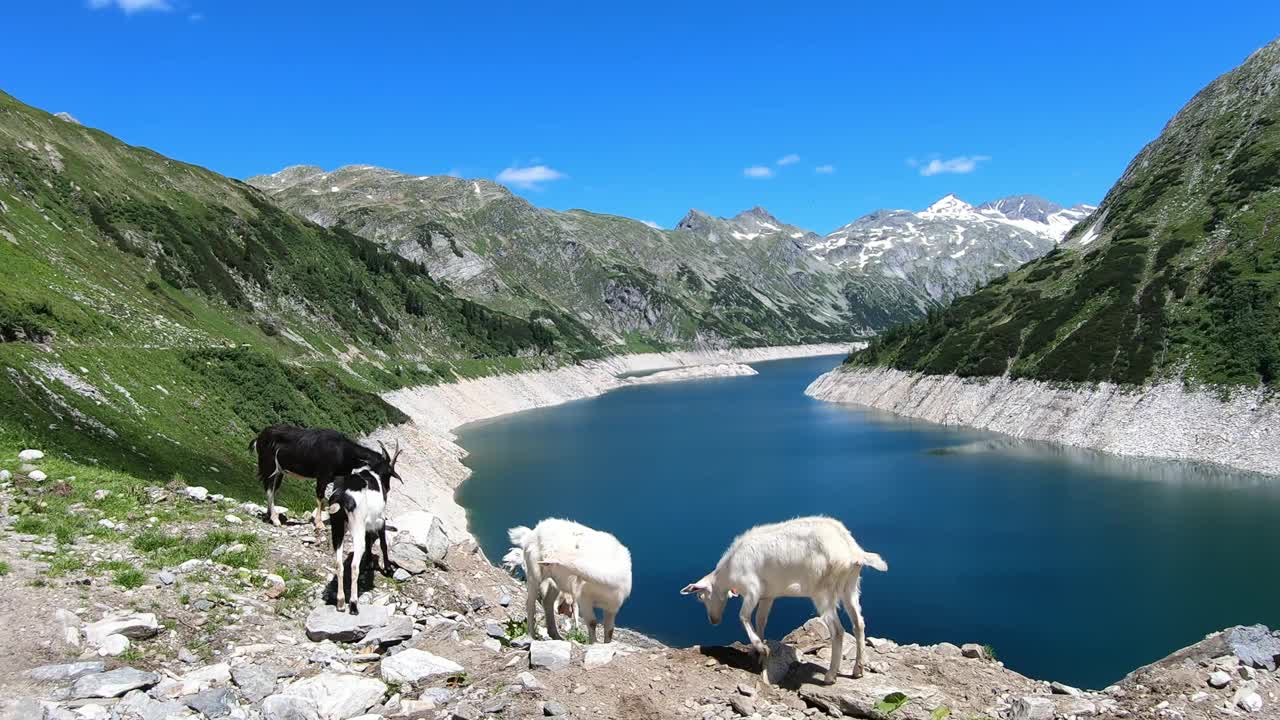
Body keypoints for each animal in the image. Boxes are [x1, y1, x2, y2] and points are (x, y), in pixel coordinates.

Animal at [248, 425, 399, 527]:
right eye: (386, 472)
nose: (387, 488)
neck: (344, 451)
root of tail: (259, 437)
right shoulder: (323, 476)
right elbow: (320, 497)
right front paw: (319, 523)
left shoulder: (339, 477)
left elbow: (337, 495)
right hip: (269, 465)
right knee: (269, 488)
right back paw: (275, 519)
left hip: (279, 471)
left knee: (272, 488)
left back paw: (269, 516)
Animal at [686, 512, 885, 681]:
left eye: (701, 597)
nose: (713, 620)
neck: (729, 571)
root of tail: (852, 551)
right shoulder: (768, 596)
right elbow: (760, 620)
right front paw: (757, 652)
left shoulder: (753, 590)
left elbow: (743, 616)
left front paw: (761, 647)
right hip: (849, 586)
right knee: (858, 623)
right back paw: (858, 669)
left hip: (823, 591)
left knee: (837, 630)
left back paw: (830, 676)